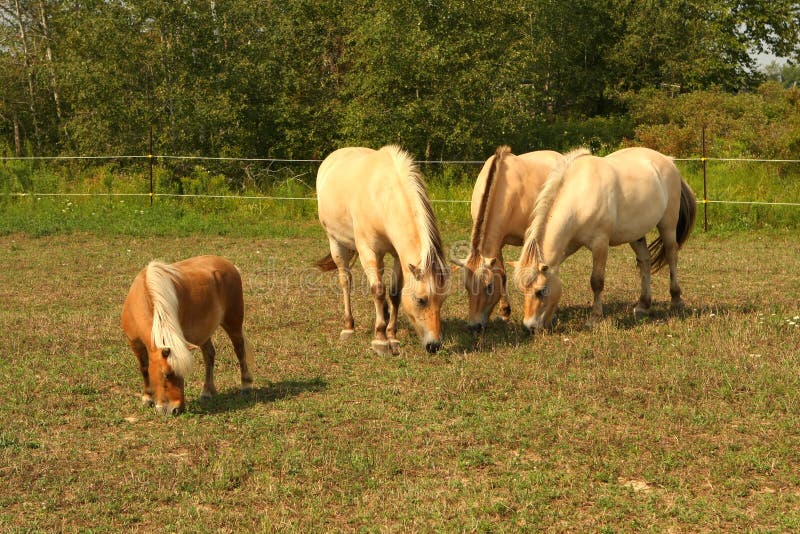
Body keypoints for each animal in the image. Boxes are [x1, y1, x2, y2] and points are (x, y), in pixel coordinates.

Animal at [120, 255, 254, 415]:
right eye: (165, 374)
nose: (176, 409)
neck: (145, 294)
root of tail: (229, 265)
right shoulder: (134, 342)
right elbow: (144, 368)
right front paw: (147, 398)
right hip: (204, 332)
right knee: (209, 355)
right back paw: (207, 392)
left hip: (233, 323)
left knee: (239, 350)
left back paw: (246, 385)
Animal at [315, 145, 449, 355]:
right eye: (421, 300)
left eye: (442, 301)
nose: (434, 345)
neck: (382, 195)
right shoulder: (367, 250)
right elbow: (377, 290)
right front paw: (380, 339)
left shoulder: (397, 255)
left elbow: (394, 293)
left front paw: (392, 336)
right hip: (335, 242)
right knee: (346, 281)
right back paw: (348, 327)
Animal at [450, 146, 562, 331]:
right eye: (466, 287)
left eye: (489, 286)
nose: (474, 326)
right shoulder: (497, 245)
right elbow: (502, 274)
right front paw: (504, 312)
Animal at [513, 146, 696, 333]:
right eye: (523, 289)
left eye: (541, 291)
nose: (529, 327)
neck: (580, 194)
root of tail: (668, 160)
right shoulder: (569, 246)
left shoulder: (600, 244)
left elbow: (597, 282)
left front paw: (595, 318)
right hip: (636, 234)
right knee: (645, 260)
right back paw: (643, 305)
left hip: (668, 225)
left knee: (672, 256)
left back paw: (676, 300)